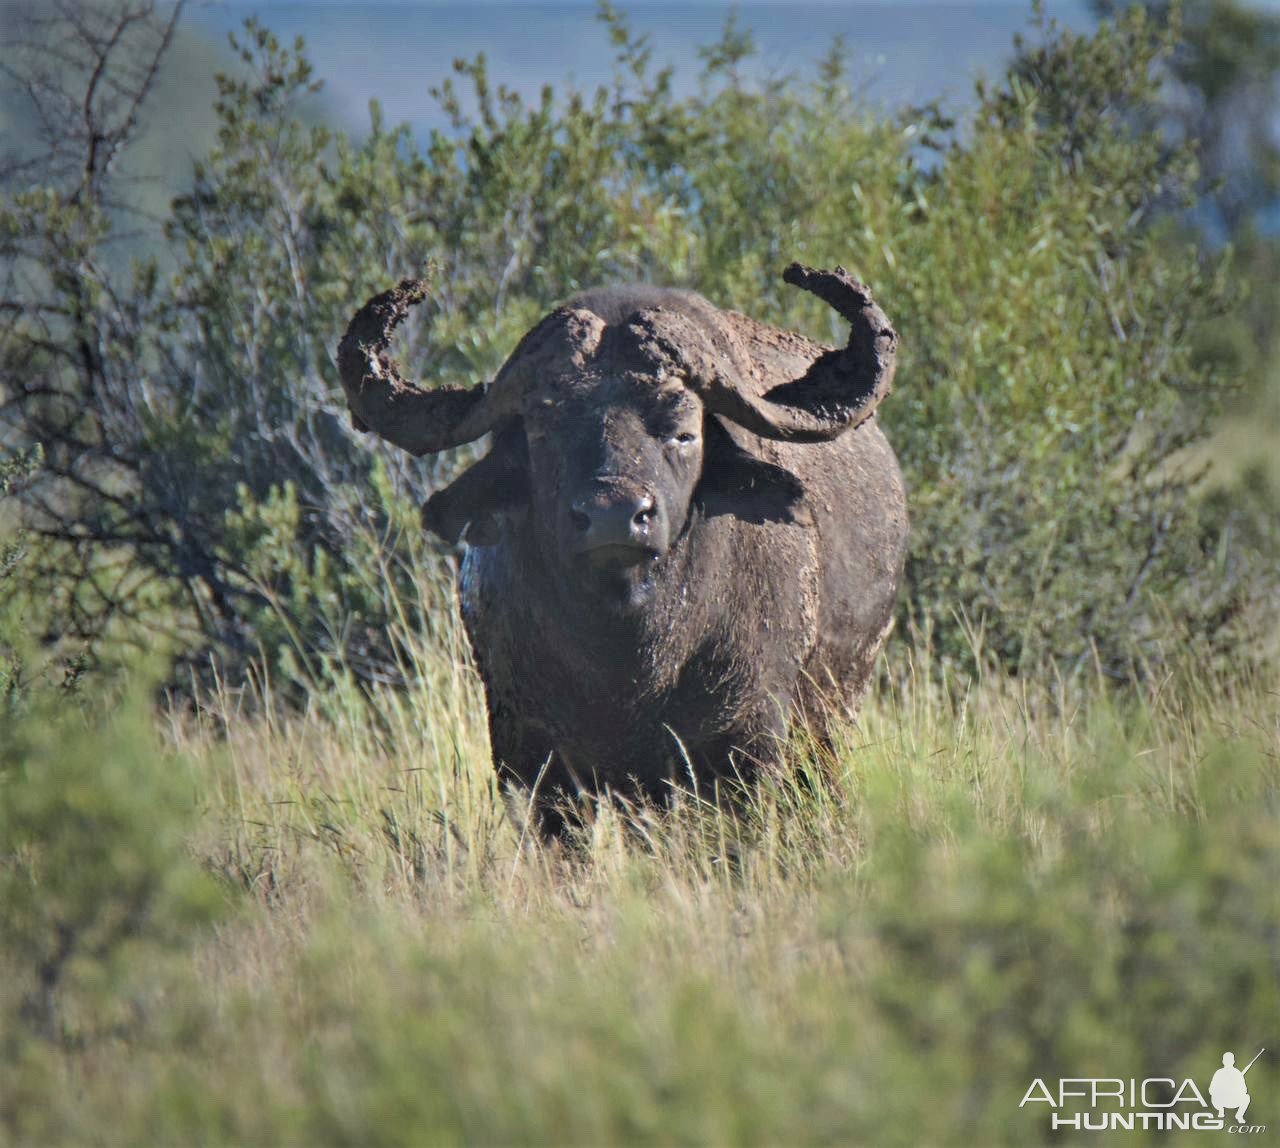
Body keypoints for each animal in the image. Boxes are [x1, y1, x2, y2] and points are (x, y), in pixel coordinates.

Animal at [335, 263, 906, 829]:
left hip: (831, 719)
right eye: (542, 431)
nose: (613, 515)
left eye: (682, 432)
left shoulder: (745, 739)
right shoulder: (528, 756)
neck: (627, 655)